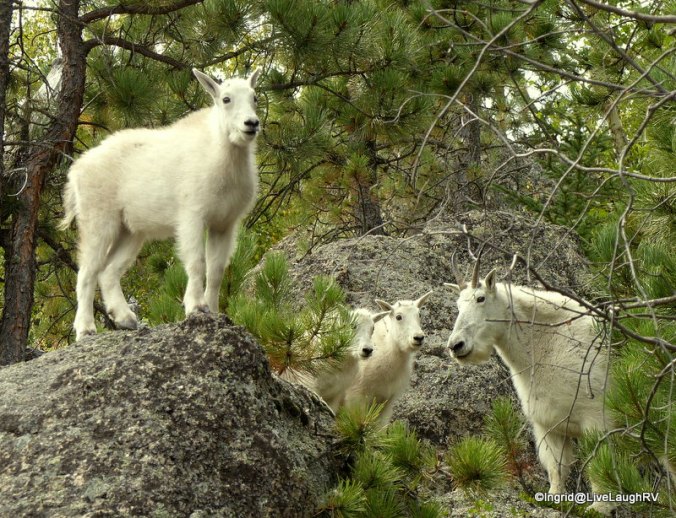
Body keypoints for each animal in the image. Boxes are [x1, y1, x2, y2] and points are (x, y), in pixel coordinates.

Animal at [60, 69, 261, 340]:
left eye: (254, 97)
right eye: (226, 99)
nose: (251, 124)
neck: (221, 153)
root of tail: (77, 170)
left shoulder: (224, 223)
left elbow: (217, 270)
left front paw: (214, 311)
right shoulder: (192, 215)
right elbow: (197, 261)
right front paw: (196, 306)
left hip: (130, 230)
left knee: (108, 271)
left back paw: (125, 319)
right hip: (98, 220)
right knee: (86, 273)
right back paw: (85, 330)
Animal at [446, 256, 610, 511]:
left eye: (481, 298)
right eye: (458, 305)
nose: (456, 345)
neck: (547, 344)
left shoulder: (596, 420)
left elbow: (598, 466)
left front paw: (600, 508)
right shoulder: (548, 425)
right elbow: (556, 467)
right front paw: (554, 499)